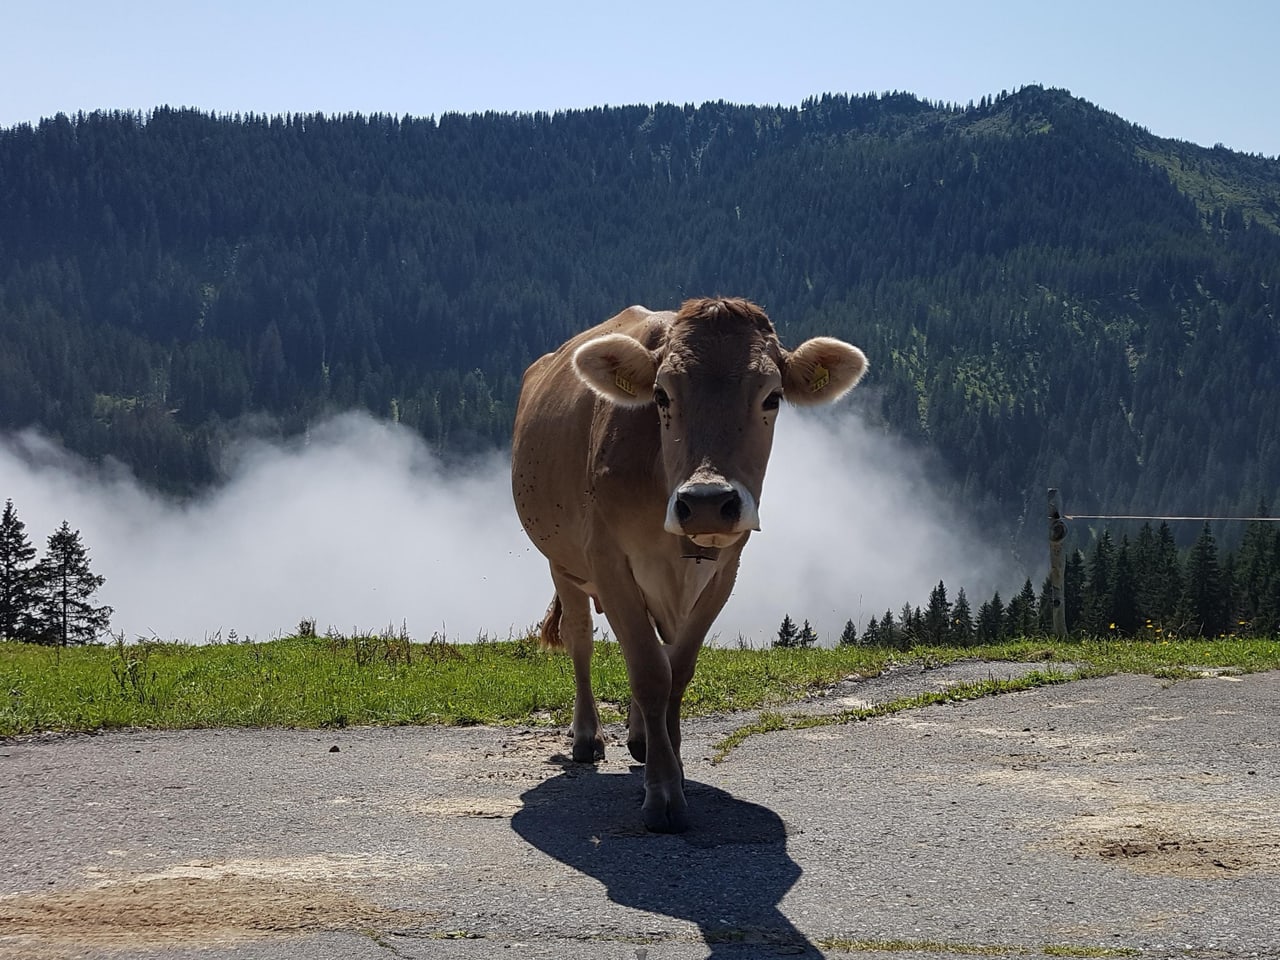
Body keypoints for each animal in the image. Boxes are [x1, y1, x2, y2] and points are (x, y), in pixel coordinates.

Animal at [512, 296, 870, 829]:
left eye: (772, 398)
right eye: (661, 395)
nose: (705, 502)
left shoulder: (723, 570)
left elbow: (676, 670)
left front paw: (673, 768)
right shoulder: (608, 560)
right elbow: (649, 671)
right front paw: (662, 794)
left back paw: (641, 736)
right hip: (564, 564)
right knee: (581, 640)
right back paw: (587, 736)